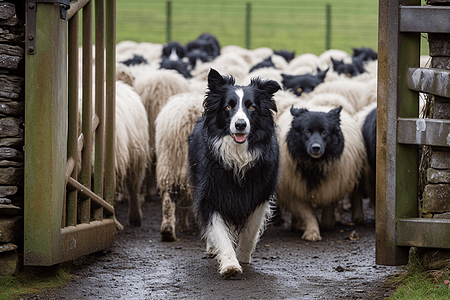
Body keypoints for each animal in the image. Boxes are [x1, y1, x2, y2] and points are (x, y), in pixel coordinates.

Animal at [187, 68, 280, 278]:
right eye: (228, 107)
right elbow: (219, 231)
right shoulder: (211, 192)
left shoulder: (260, 193)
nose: (240, 125)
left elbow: (251, 229)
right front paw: (230, 264)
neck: (238, 154)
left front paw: (243, 255)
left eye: (252, 107)